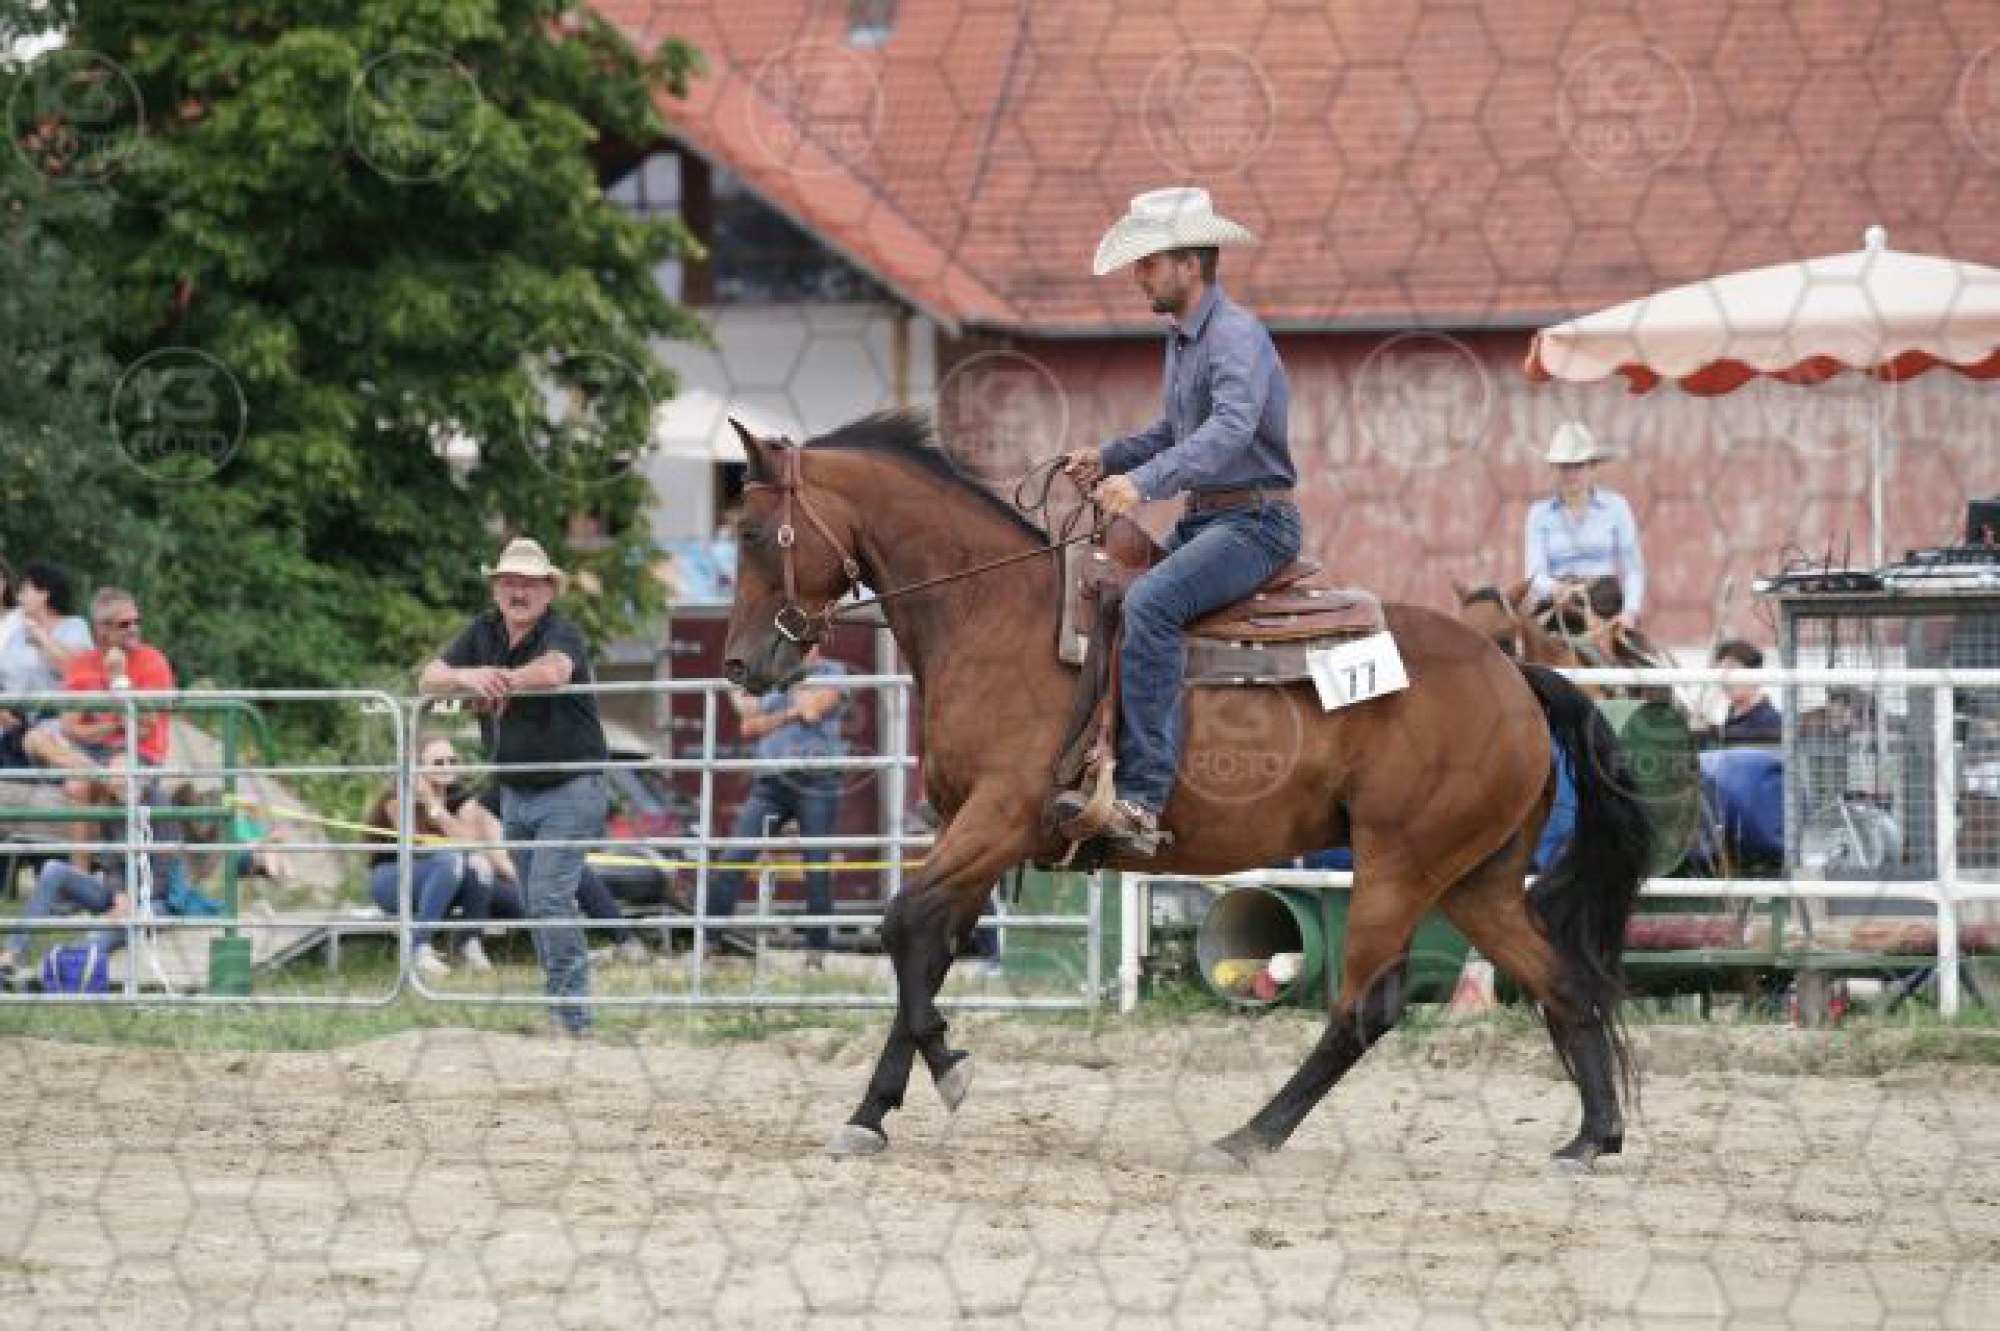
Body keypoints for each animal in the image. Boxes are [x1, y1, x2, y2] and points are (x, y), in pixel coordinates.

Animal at [721, 411, 1652, 1172]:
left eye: (759, 532)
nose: (740, 665)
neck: (995, 615)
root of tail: (1515, 675)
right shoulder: (970, 834)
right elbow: (928, 946)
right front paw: (871, 1112)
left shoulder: (1000, 819)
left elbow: (900, 922)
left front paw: (949, 1068)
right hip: (1476, 877)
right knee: (1564, 980)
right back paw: (1591, 1136)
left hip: (1400, 863)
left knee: (1367, 1006)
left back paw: (1246, 1136)